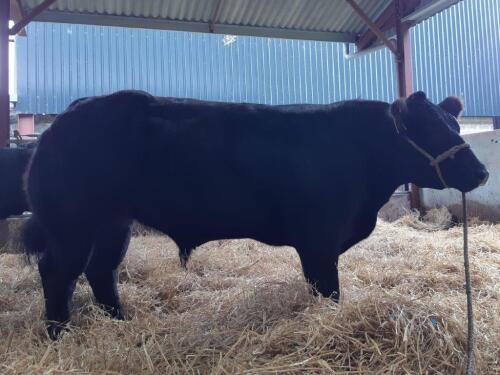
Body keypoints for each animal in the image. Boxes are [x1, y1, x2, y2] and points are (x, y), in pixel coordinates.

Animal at [22, 90, 488, 338]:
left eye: (455, 125)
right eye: (431, 128)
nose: (481, 172)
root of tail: (68, 116)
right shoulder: (319, 241)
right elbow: (328, 290)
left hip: (113, 221)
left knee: (102, 269)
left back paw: (120, 322)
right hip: (71, 221)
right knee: (58, 271)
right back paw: (59, 333)